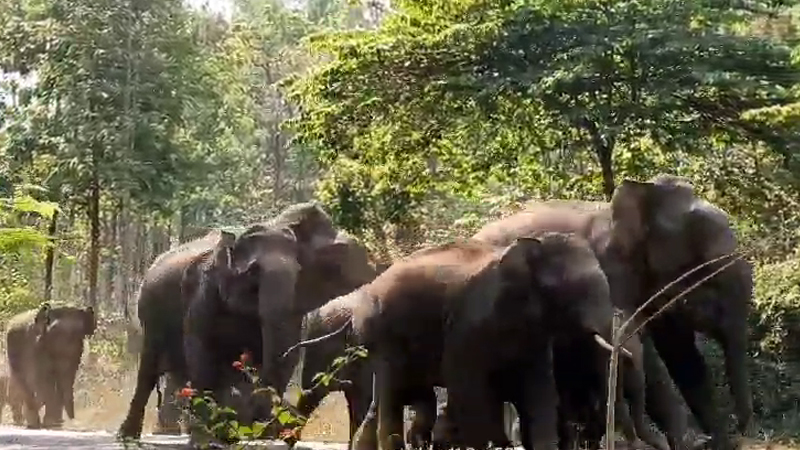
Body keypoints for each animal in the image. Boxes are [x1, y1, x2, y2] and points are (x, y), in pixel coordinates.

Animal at [284, 232, 628, 450]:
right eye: (577, 291)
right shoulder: (467, 325)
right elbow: (468, 386)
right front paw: (490, 444)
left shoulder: (534, 334)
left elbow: (539, 391)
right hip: (381, 334)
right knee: (388, 393)